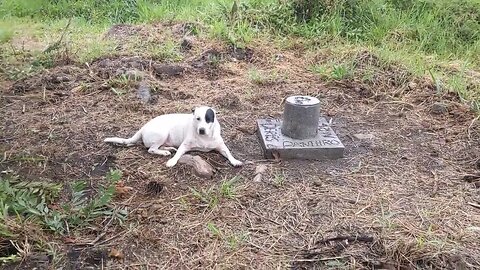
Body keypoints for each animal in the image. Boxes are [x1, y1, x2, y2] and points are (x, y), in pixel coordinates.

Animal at [102, 106, 242, 168]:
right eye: (198, 118)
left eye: (208, 119)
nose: (201, 130)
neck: (205, 138)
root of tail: (143, 128)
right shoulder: (184, 146)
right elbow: (179, 153)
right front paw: (172, 161)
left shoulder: (221, 147)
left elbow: (229, 153)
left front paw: (235, 161)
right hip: (162, 133)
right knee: (151, 149)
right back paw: (164, 152)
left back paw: (167, 149)